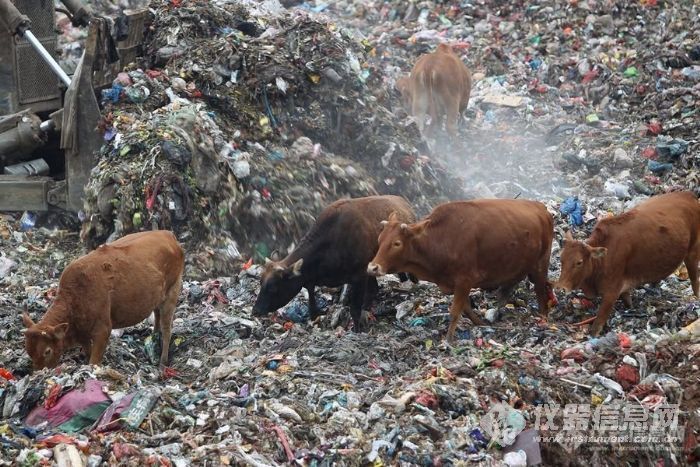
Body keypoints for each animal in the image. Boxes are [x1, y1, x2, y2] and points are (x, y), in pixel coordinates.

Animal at [22, 231, 183, 372]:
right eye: (29, 351)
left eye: (47, 351)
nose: (39, 373)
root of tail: (168, 234)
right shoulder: (83, 334)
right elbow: (88, 352)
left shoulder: (103, 330)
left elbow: (94, 360)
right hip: (157, 296)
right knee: (157, 314)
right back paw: (154, 337)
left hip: (172, 292)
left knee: (167, 329)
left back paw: (162, 362)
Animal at [370, 199, 556, 342]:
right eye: (379, 239)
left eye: (397, 243)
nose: (373, 267)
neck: (440, 239)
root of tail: (541, 208)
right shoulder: (455, 284)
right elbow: (465, 308)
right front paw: (481, 323)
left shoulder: (465, 279)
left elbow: (455, 311)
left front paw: (448, 340)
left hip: (541, 264)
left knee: (540, 291)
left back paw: (543, 318)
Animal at [552, 190, 700, 336]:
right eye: (561, 259)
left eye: (579, 262)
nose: (560, 287)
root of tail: (689, 195)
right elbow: (628, 301)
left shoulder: (611, 292)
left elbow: (597, 326)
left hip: (693, 252)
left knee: (694, 279)